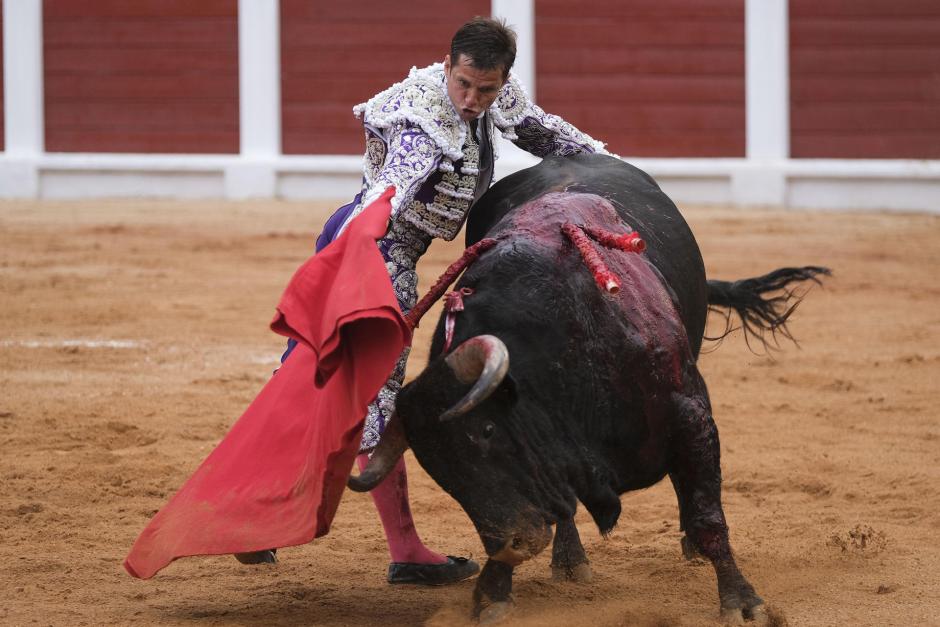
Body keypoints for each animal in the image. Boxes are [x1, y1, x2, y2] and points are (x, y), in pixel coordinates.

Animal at [348, 155, 828, 624]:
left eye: (487, 431)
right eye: (437, 468)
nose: (511, 545)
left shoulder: (691, 417)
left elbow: (707, 515)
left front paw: (743, 602)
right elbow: (554, 499)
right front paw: (493, 591)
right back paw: (569, 559)